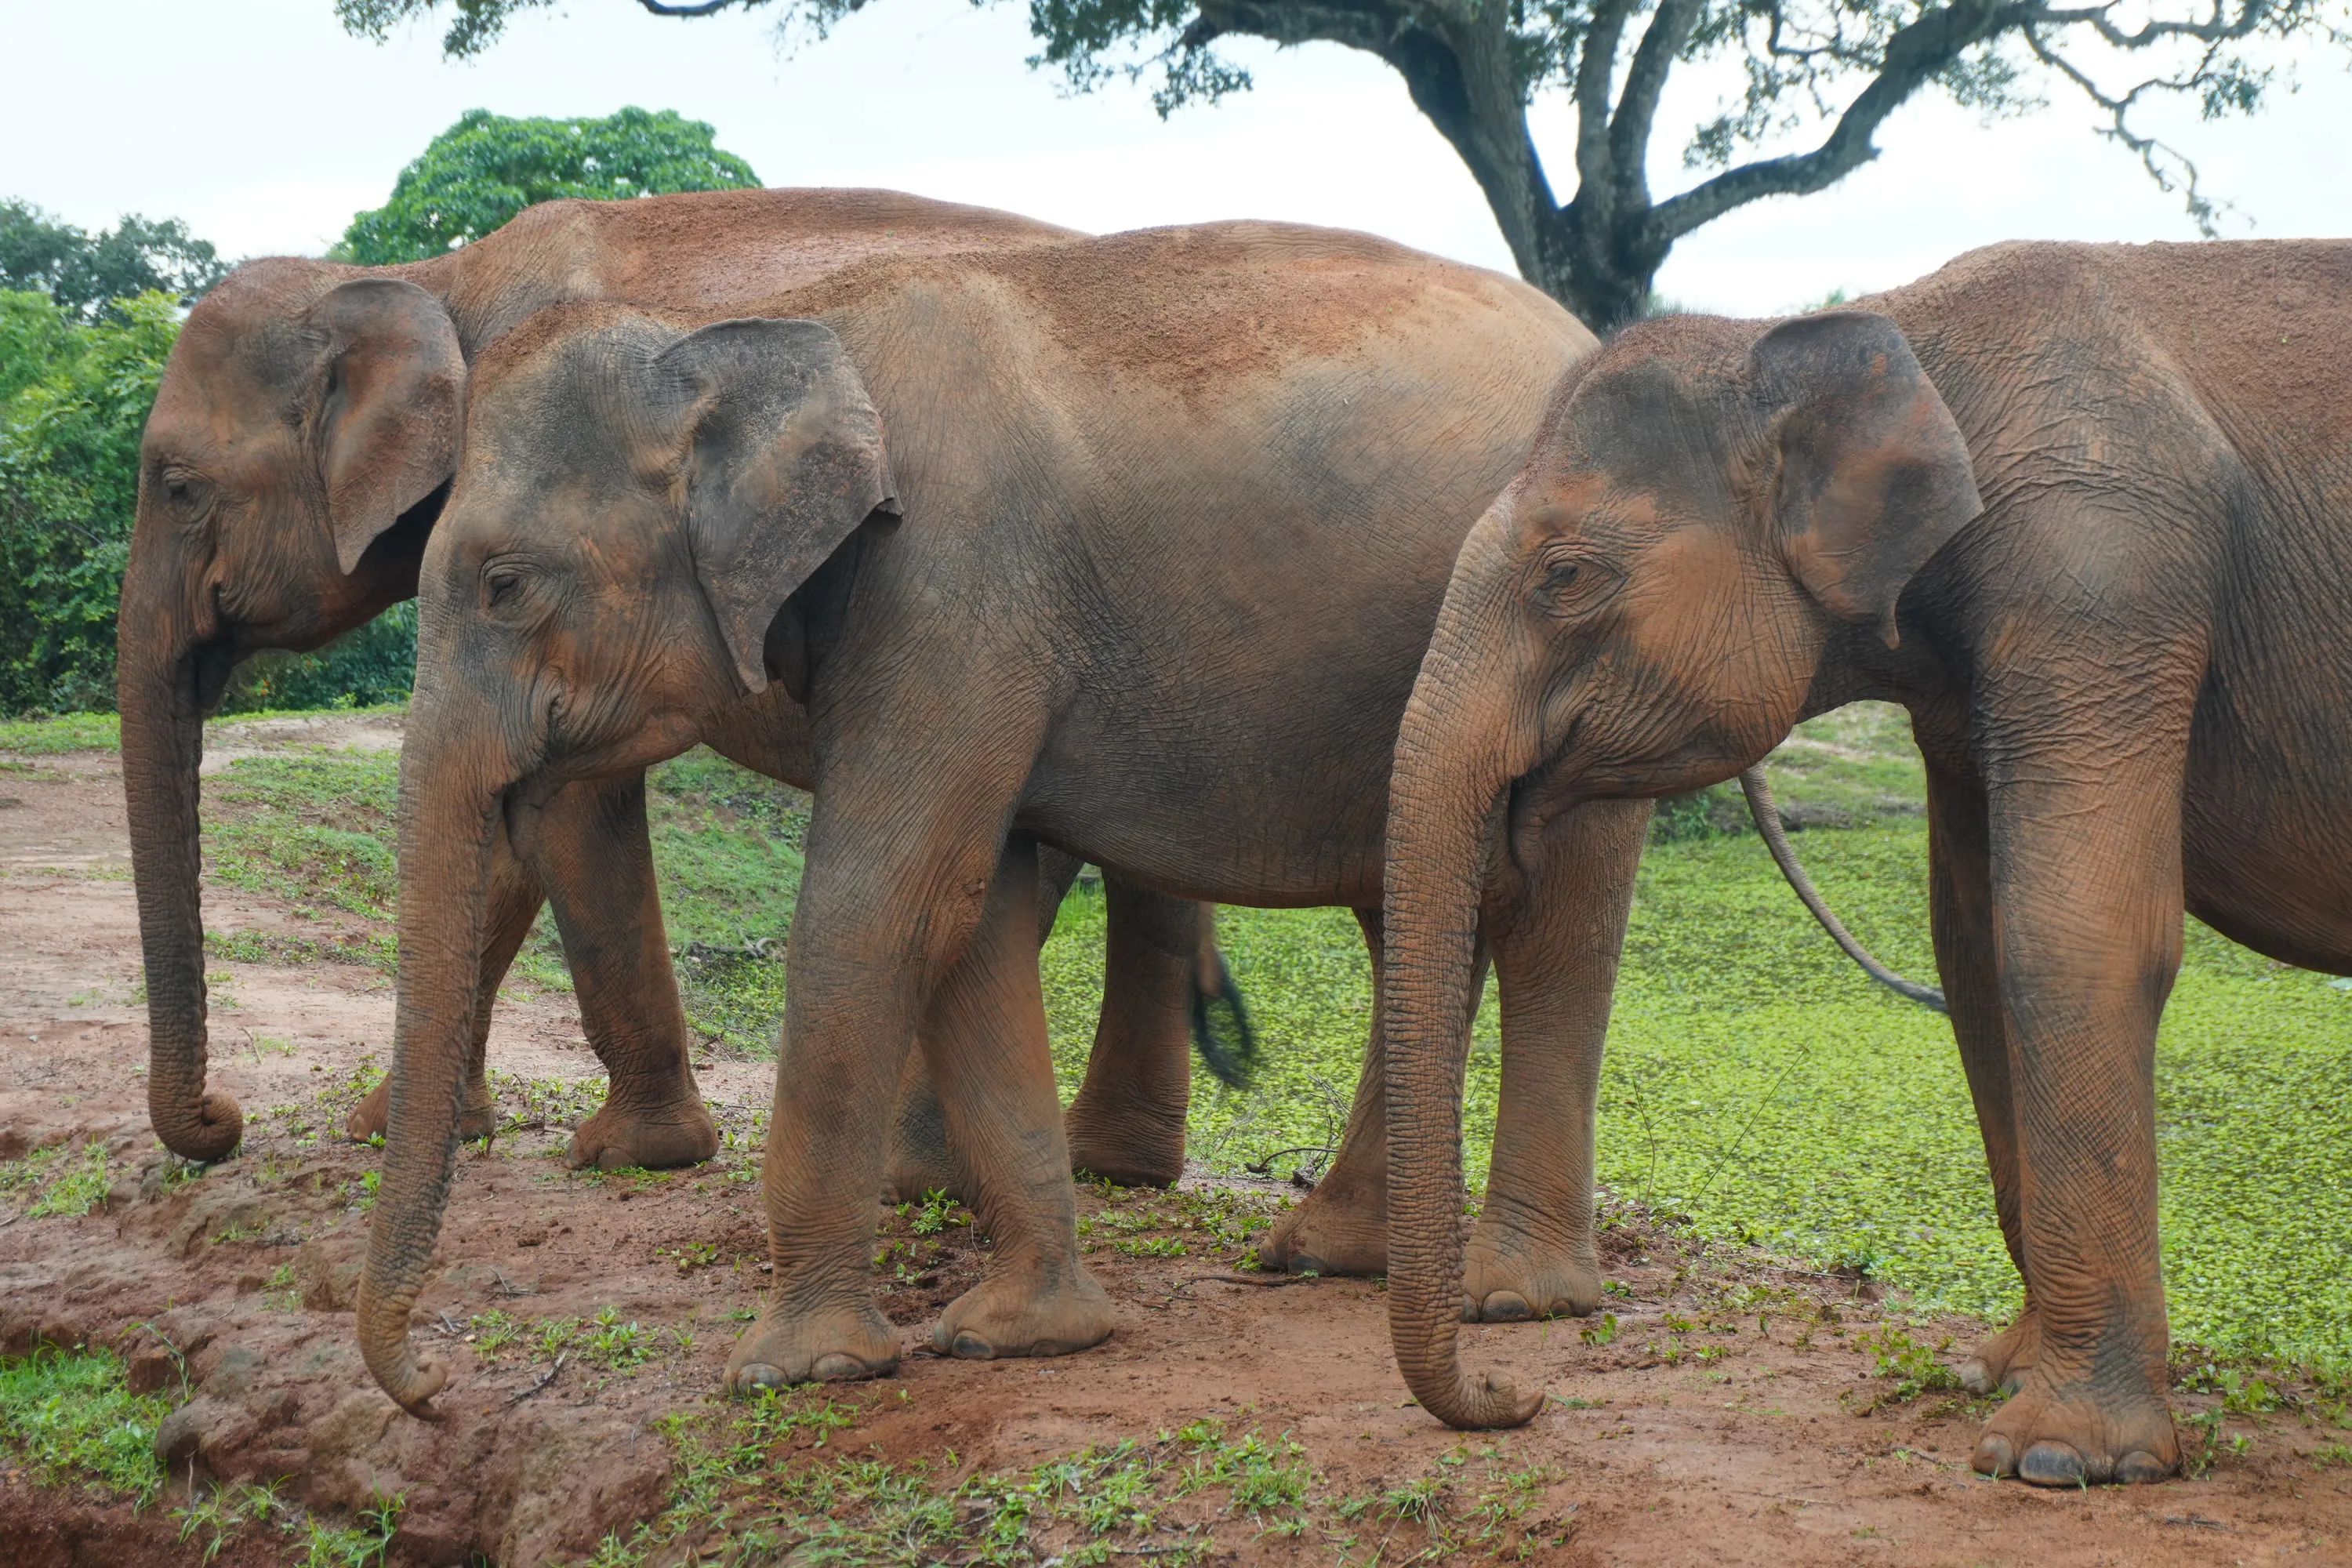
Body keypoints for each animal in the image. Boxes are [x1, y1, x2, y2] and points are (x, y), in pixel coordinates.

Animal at [120, 185, 1237, 1185]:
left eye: (177, 484)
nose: (221, 1120)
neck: (437, 275)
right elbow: (506, 833)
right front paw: (400, 1129)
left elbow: (567, 815)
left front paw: (632, 1151)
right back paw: (1115, 1166)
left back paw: (927, 1169)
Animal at [1375, 237, 2352, 1486]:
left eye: (1564, 575)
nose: (1517, 1395)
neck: (1879, 336)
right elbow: (1971, 947)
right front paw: (1999, 1375)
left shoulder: (2102, 580)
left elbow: (2070, 936)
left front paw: (2058, 1458)